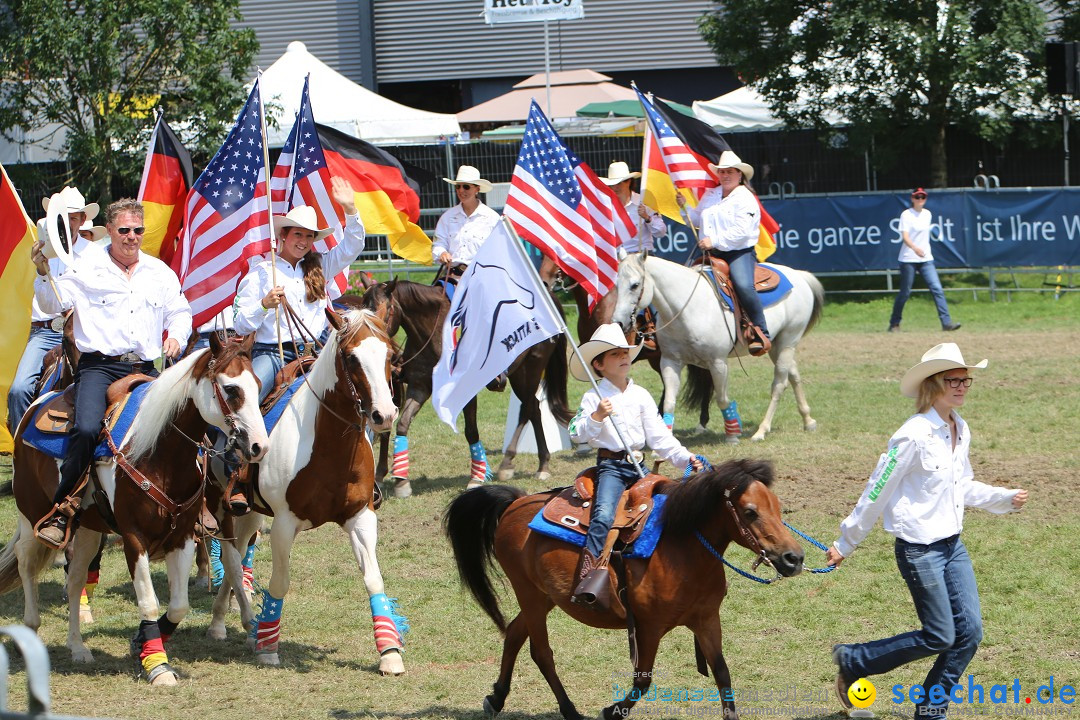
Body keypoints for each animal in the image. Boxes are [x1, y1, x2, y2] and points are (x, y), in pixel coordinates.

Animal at [0, 334, 268, 686]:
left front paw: (142, 642)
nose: (259, 447)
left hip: (89, 529)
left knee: (75, 578)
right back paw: (31, 628)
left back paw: (77, 647)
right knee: (26, 560)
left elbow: (179, 605)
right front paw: (158, 667)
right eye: (231, 389)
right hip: (32, 512)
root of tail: (35, 405)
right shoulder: (133, 537)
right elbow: (149, 602)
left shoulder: (183, 535)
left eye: (257, 384)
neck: (159, 454)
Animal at [203, 308, 406, 677]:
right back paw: (234, 624)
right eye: (352, 357)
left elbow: (373, 579)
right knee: (231, 557)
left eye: (389, 354)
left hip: (251, 513)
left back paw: (226, 621)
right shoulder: (285, 523)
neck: (328, 445)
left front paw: (390, 652)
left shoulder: (361, 516)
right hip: (220, 507)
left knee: (238, 552)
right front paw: (269, 648)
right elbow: (279, 583)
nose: (384, 414)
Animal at [358, 278, 574, 498]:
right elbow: (403, 424)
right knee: (534, 409)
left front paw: (477, 478)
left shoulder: (467, 394)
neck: (434, 335)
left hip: (530, 369)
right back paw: (538, 463)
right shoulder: (419, 387)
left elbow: (471, 431)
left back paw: (514, 463)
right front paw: (401, 481)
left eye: (383, 311)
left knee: (528, 408)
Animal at [442, 459, 807, 720]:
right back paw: (570, 711)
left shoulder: (706, 620)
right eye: (750, 512)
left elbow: (722, 674)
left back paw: (496, 698)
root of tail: (515, 503)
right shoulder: (649, 627)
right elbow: (642, 681)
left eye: (777, 507)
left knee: (516, 633)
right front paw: (611, 711)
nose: (794, 558)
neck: (682, 548)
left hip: (545, 595)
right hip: (528, 592)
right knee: (540, 651)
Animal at [613, 253, 820, 444]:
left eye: (634, 285)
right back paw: (808, 420)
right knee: (794, 376)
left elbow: (722, 398)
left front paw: (732, 435)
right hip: (777, 346)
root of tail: (799, 275)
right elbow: (670, 402)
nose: (618, 322)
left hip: (787, 341)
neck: (688, 308)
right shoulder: (670, 361)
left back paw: (761, 431)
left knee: (779, 385)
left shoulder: (717, 362)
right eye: (617, 284)